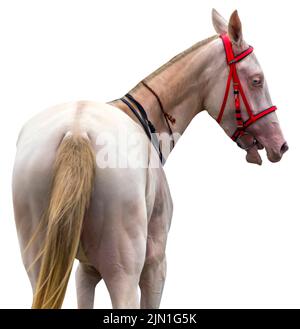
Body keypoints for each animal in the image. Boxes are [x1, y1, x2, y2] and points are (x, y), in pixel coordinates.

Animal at [11, 9, 288, 308]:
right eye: (257, 80)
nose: (280, 144)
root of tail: (77, 130)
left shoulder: (86, 270)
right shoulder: (155, 264)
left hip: (40, 264)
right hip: (123, 269)